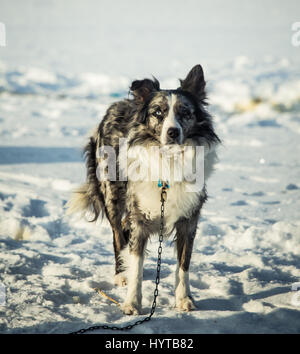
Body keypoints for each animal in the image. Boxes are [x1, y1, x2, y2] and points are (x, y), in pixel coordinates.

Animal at [67, 64, 219, 316]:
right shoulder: (139, 216)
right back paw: (121, 275)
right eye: (158, 112)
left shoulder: (189, 219)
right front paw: (132, 302)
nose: (172, 132)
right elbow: (136, 264)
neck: (168, 160)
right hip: (113, 196)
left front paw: (183, 299)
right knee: (118, 236)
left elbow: (183, 265)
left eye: (185, 113)